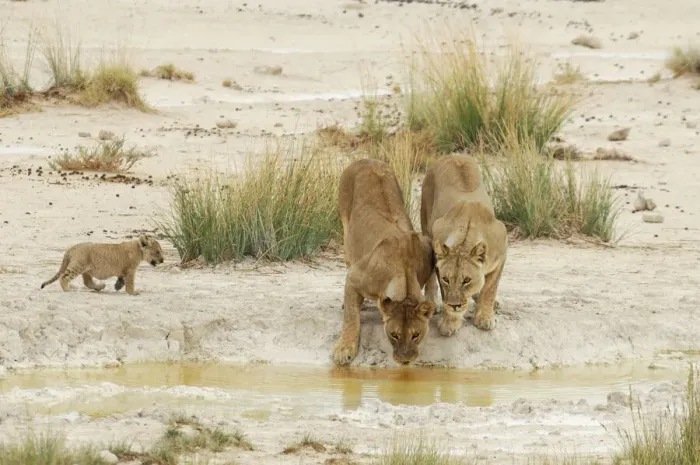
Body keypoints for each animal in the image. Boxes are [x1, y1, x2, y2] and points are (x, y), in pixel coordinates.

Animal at [334, 158, 436, 366]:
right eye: (394, 335)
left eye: (416, 335)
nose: (405, 361)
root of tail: (366, 159)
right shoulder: (355, 277)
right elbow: (351, 317)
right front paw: (344, 349)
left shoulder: (428, 247)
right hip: (347, 237)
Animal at [420, 154, 508, 336]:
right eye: (446, 279)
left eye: (466, 280)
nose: (455, 305)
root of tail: (452, 155)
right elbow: (443, 289)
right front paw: (450, 322)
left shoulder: (502, 253)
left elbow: (490, 289)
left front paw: (485, 318)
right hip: (426, 222)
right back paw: (432, 303)